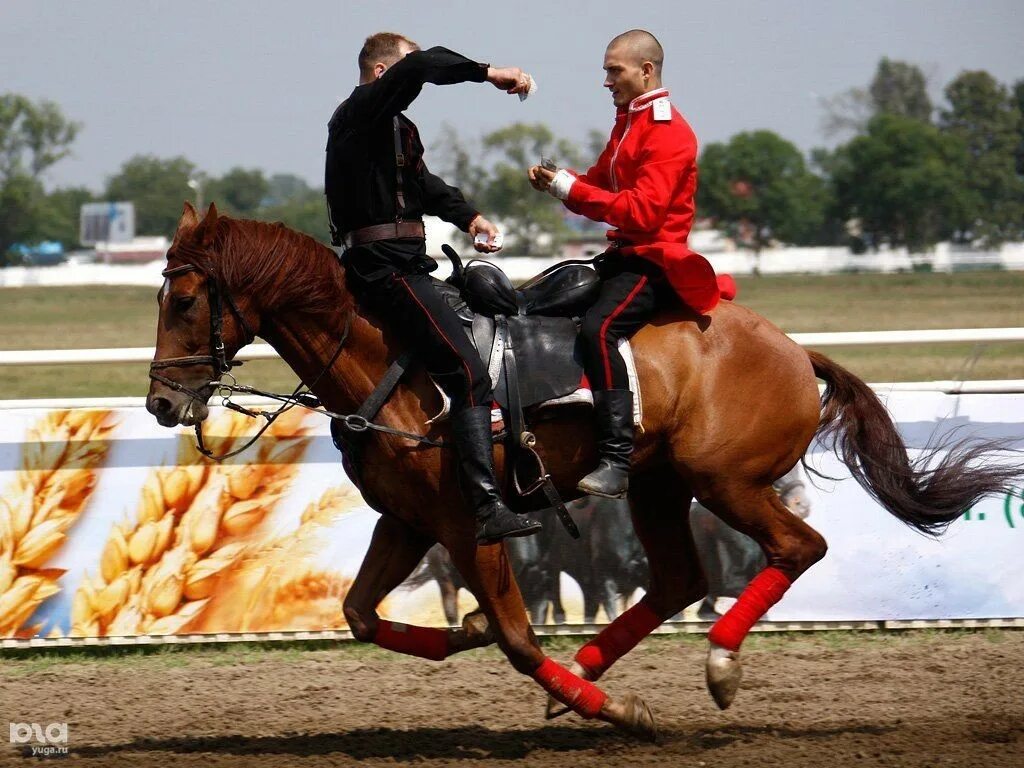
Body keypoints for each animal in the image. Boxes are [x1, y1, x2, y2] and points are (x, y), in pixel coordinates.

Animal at [148, 202, 1019, 741]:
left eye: (186, 301)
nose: (161, 400)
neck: (401, 362)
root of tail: (794, 351)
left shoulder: (473, 524)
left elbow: (516, 638)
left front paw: (618, 711)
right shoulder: (409, 522)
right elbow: (366, 614)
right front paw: (471, 634)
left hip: (725, 483)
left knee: (796, 550)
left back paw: (716, 664)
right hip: (659, 486)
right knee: (679, 579)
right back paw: (593, 666)